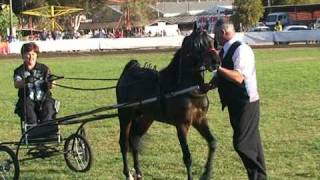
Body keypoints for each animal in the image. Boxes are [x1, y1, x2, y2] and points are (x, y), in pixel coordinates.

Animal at [117, 27, 220, 180]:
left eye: (212, 41)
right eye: (197, 45)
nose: (216, 62)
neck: (187, 88)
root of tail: (130, 70)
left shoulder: (200, 119)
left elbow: (212, 142)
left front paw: (206, 174)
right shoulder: (181, 125)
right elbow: (187, 157)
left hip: (145, 118)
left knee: (134, 140)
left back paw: (139, 172)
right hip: (125, 115)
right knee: (123, 143)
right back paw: (128, 173)